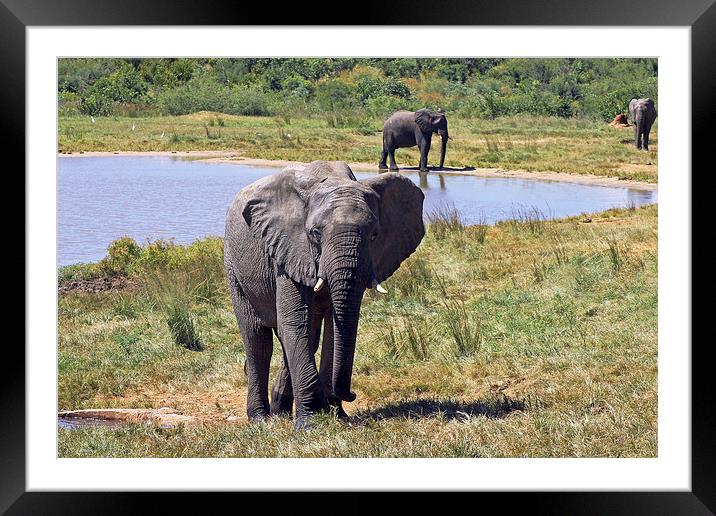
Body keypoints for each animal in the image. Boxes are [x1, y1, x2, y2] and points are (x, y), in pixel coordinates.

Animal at [224, 159, 426, 430]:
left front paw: (337, 416)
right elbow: (294, 322)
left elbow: (332, 327)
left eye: (374, 234)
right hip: (233, 264)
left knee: (309, 337)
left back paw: (281, 412)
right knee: (258, 339)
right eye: (315, 233)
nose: (351, 394)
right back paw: (261, 420)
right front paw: (310, 424)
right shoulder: (288, 248)